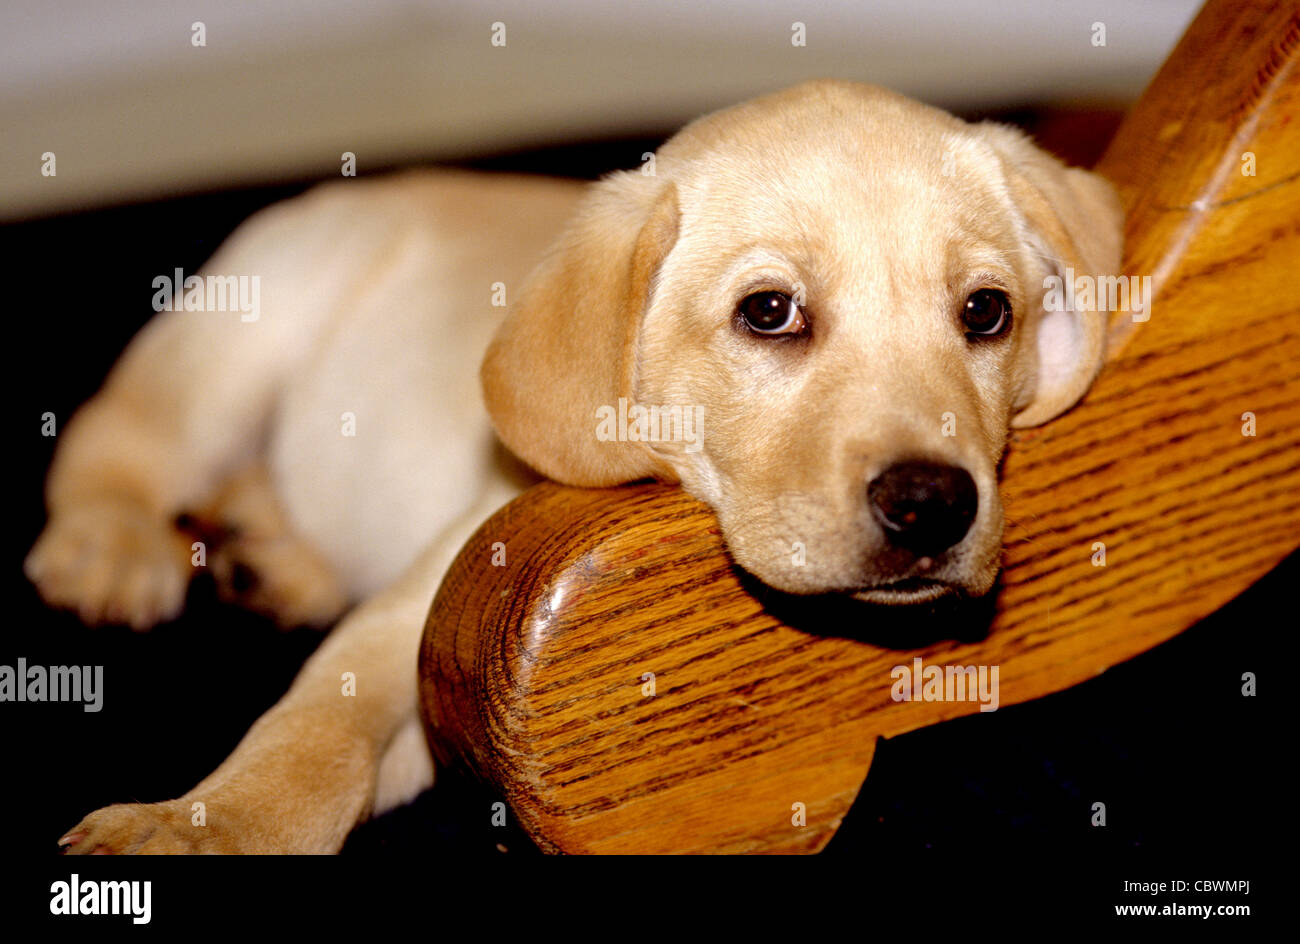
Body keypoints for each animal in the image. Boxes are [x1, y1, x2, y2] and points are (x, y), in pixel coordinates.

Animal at [35, 81, 1123, 852]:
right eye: (769, 312)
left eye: (985, 312)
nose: (933, 506)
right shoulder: (423, 605)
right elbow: (311, 735)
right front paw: (202, 827)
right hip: (239, 341)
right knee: (114, 445)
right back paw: (112, 548)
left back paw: (274, 554)